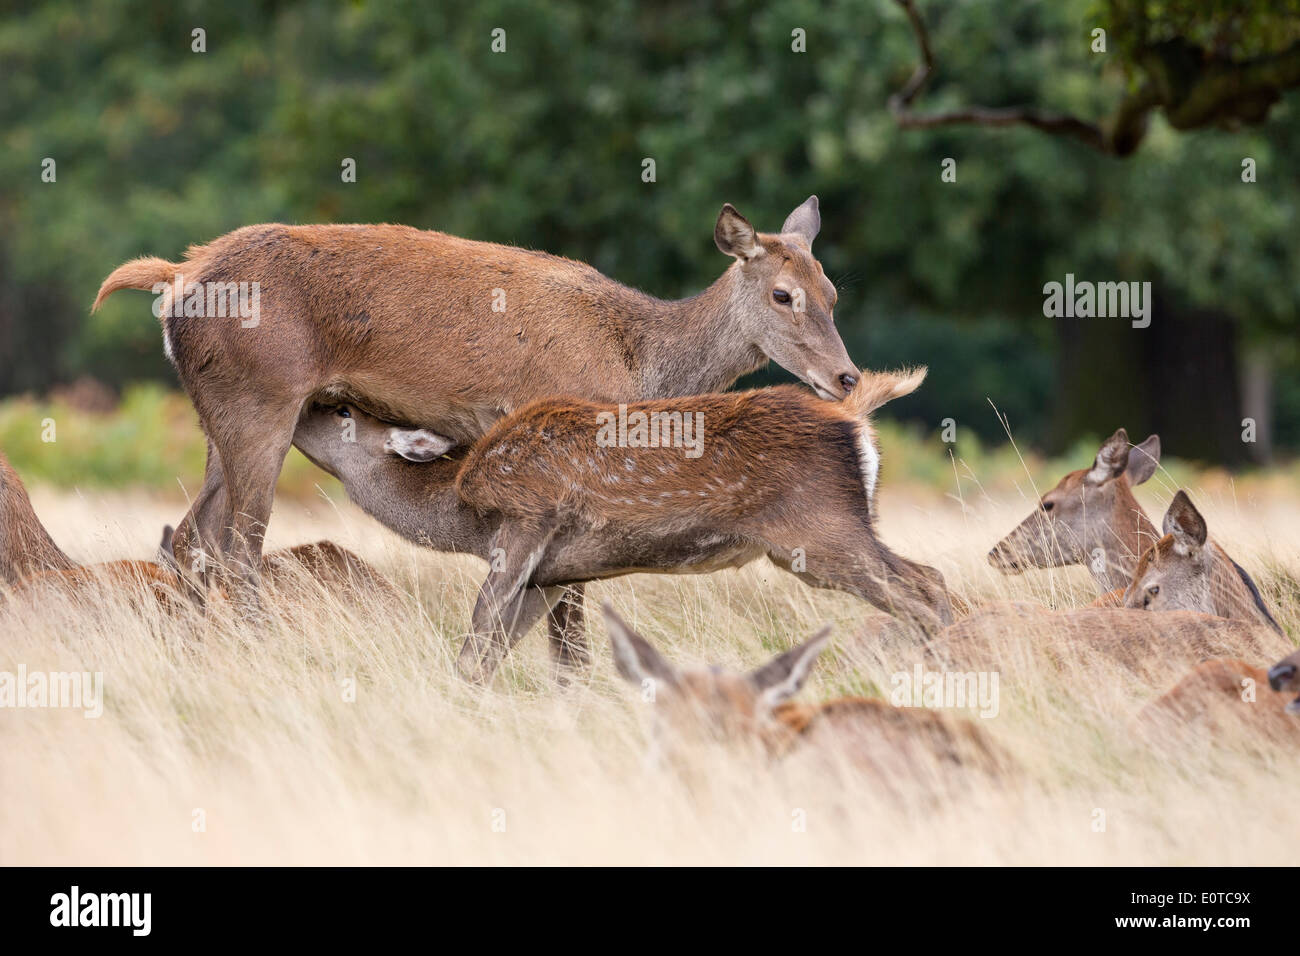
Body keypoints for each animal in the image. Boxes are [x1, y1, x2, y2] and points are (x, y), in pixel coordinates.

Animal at [94, 201, 863, 621]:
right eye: (783, 295)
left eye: (832, 290)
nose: (847, 376)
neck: (640, 364)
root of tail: (177, 277)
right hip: (262, 399)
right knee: (237, 548)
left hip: (217, 414)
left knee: (191, 537)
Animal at [289, 364, 951, 681]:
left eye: (343, 412)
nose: (304, 404)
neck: (461, 513)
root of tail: (854, 416)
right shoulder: (552, 572)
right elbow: (501, 650)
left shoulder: (527, 519)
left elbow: (478, 628)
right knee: (929, 580)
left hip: (818, 529)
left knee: (923, 585)